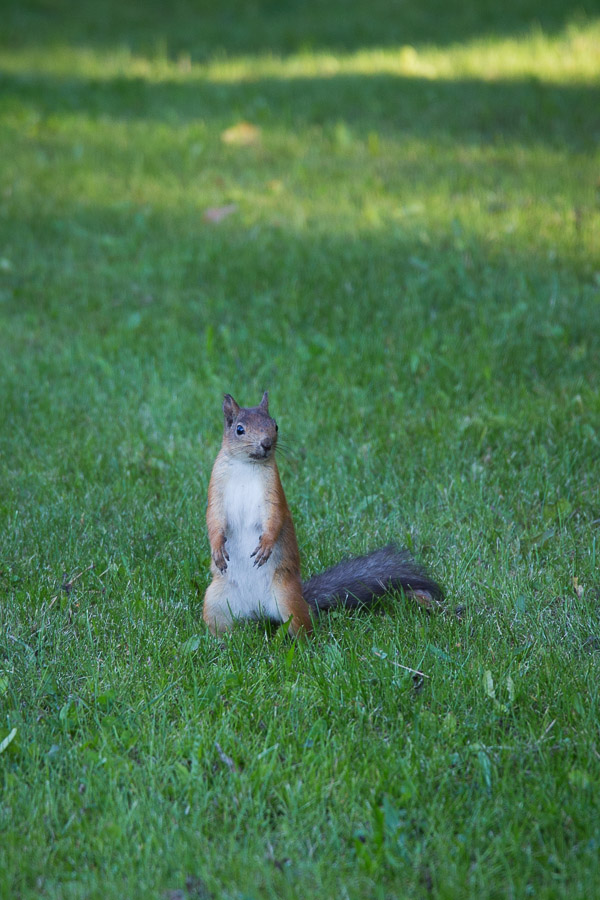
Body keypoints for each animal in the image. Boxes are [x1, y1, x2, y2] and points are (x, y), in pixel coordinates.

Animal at [204, 390, 442, 636]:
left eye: (275, 425)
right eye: (239, 429)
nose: (266, 444)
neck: (246, 467)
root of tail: (257, 610)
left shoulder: (273, 493)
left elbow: (275, 518)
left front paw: (266, 545)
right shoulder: (216, 490)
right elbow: (214, 519)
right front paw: (217, 548)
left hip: (287, 599)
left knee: (303, 626)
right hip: (215, 601)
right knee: (220, 625)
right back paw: (222, 640)